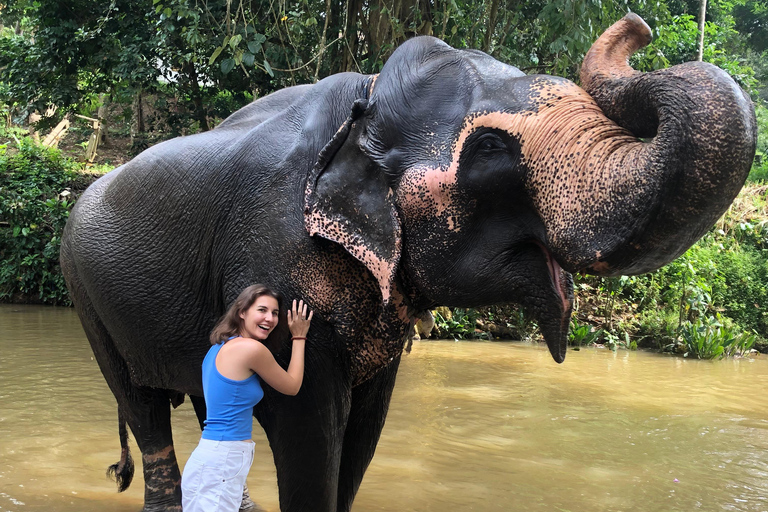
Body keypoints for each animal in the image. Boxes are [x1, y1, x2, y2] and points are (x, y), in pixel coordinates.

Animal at [61, 12, 756, 512]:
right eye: (491, 149)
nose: (640, 26)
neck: (366, 102)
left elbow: (364, 433)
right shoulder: (273, 252)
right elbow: (307, 428)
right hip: (86, 296)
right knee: (145, 412)